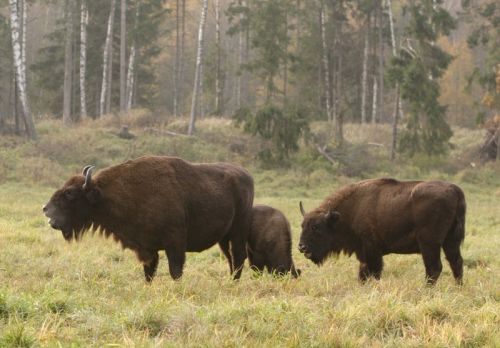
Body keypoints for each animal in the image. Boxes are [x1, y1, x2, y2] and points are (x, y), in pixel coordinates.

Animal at [43, 156, 254, 282]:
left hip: (238, 232)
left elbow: (175, 270)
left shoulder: (174, 243)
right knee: (231, 258)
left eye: (70, 193)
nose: (46, 210)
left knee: (238, 256)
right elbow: (149, 272)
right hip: (224, 237)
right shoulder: (146, 248)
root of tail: (246, 174)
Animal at [296, 178, 464, 284]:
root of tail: (455, 190)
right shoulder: (364, 253)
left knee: (434, 268)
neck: (352, 210)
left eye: (316, 227)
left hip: (429, 244)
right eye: (302, 225)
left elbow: (374, 272)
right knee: (456, 262)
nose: (301, 247)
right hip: (451, 241)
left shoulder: (371, 250)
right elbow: (363, 273)